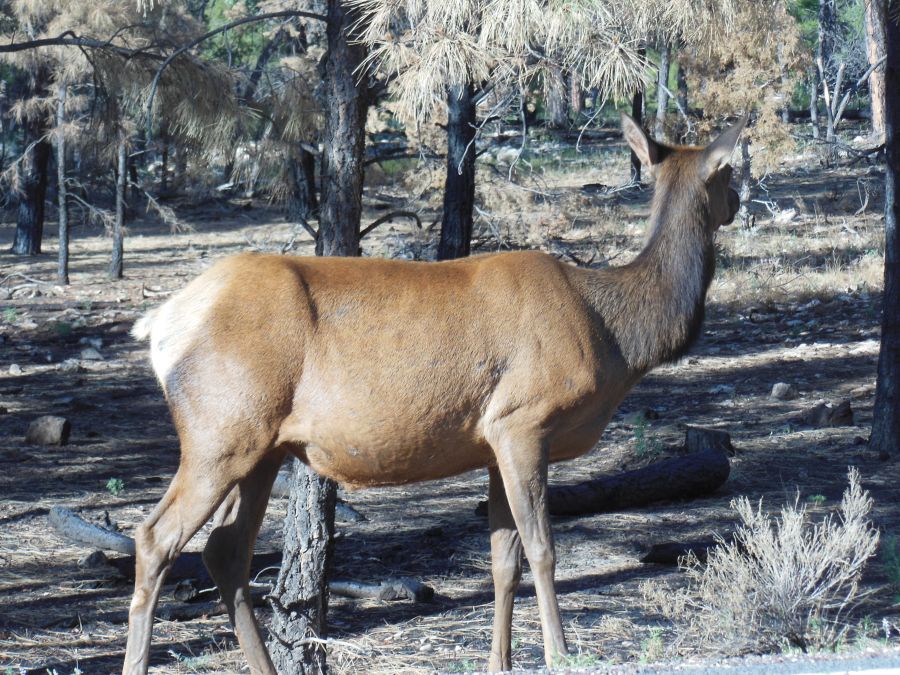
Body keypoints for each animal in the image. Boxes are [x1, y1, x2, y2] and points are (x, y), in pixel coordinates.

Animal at [123, 113, 748, 672]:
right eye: (729, 174)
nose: (740, 201)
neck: (616, 332)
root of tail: (160, 324)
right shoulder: (524, 420)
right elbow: (543, 550)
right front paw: (560, 653)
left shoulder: (492, 441)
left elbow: (503, 561)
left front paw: (500, 662)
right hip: (220, 431)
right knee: (155, 538)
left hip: (262, 448)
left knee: (224, 551)